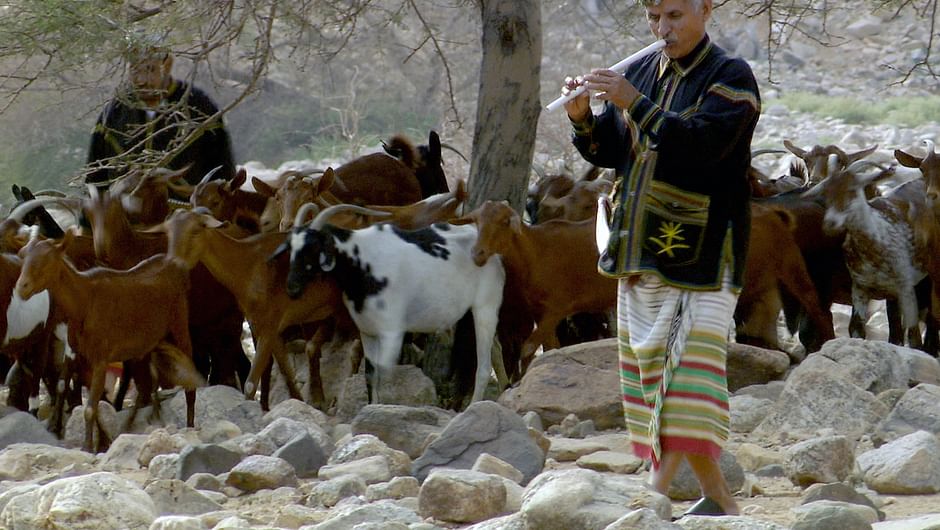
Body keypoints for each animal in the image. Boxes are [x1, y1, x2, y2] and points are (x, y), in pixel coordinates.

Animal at [15, 230, 199, 451]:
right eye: (22, 255)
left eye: (47, 259)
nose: (21, 287)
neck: (84, 302)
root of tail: (177, 266)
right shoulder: (75, 350)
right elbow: (68, 387)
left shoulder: (101, 356)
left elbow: (90, 406)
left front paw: (87, 446)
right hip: (146, 342)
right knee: (145, 385)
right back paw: (130, 426)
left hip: (179, 320)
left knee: (188, 371)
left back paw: (189, 425)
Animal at [281, 203, 508, 404]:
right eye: (291, 247)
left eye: (312, 247)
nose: (292, 287)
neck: (363, 262)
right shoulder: (368, 332)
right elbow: (371, 373)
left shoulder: (392, 333)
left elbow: (384, 372)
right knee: (495, 348)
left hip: (485, 307)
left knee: (484, 365)